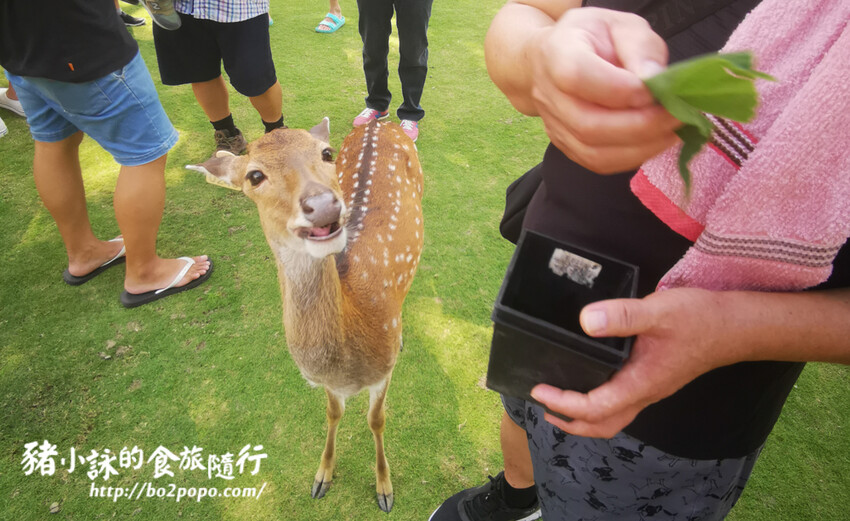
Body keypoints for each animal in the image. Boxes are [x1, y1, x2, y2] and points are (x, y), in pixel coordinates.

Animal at [191, 118, 424, 512]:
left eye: (325, 154)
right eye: (254, 175)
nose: (324, 204)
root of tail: (383, 121)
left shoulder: (383, 372)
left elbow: (376, 420)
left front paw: (384, 489)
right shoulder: (328, 384)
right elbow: (333, 413)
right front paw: (322, 476)